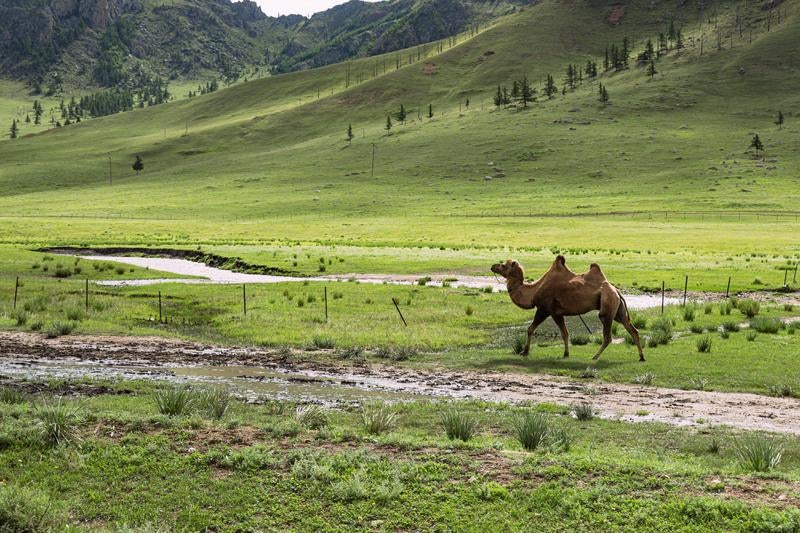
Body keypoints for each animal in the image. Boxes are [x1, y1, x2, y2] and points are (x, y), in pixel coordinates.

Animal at [490, 255, 648, 362]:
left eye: (503, 265)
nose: (492, 266)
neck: (533, 291)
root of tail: (617, 291)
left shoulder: (546, 309)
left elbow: (531, 329)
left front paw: (524, 352)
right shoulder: (558, 313)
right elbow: (565, 333)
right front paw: (566, 354)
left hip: (607, 306)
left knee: (608, 336)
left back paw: (594, 356)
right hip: (618, 310)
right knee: (633, 330)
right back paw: (641, 357)